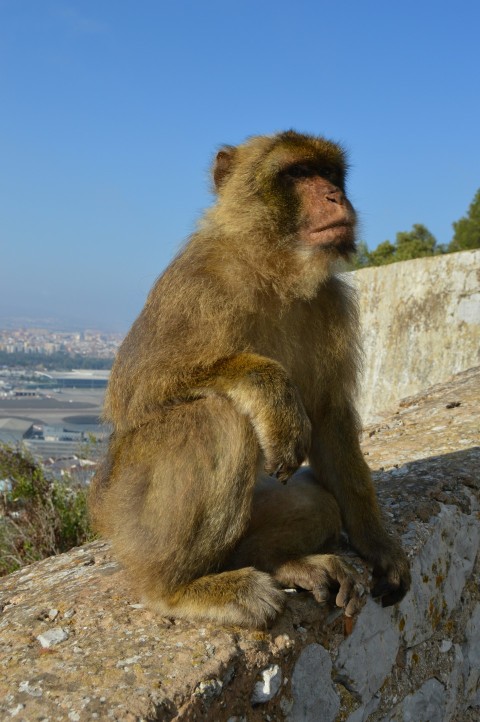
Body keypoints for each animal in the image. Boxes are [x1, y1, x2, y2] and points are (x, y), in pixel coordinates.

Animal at [90, 129, 412, 624]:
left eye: (329, 174)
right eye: (298, 173)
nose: (335, 196)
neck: (272, 269)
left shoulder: (331, 304)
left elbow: (330, 417)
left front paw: (377, 544)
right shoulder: (196, 287)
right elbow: (136, 393)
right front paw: (274, 392)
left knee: (318, 504)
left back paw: (282, 563)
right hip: (130, 516)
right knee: (216, 419)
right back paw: (178, 589)